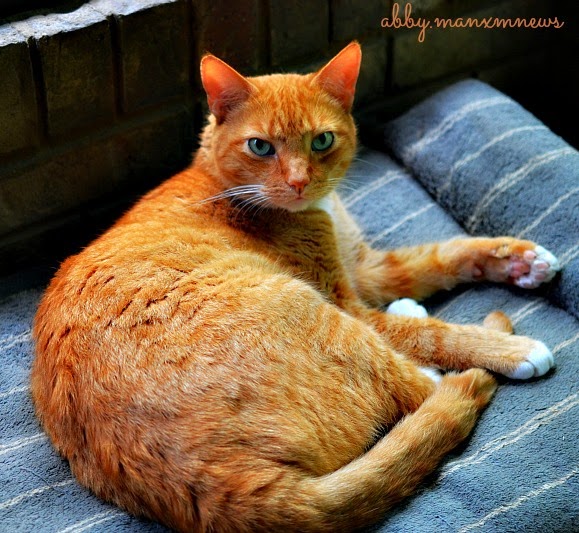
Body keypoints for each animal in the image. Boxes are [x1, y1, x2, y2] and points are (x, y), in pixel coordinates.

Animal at [32, 42, 560, 532]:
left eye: (322, 140)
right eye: (261, 147)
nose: (299, 182)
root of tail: (225, 488)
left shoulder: (365, 268)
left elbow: (442, 256)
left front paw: (522, 262)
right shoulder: (349, 301)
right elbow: (438, 334)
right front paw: (512, 348)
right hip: (314, 310)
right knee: (419, 387)